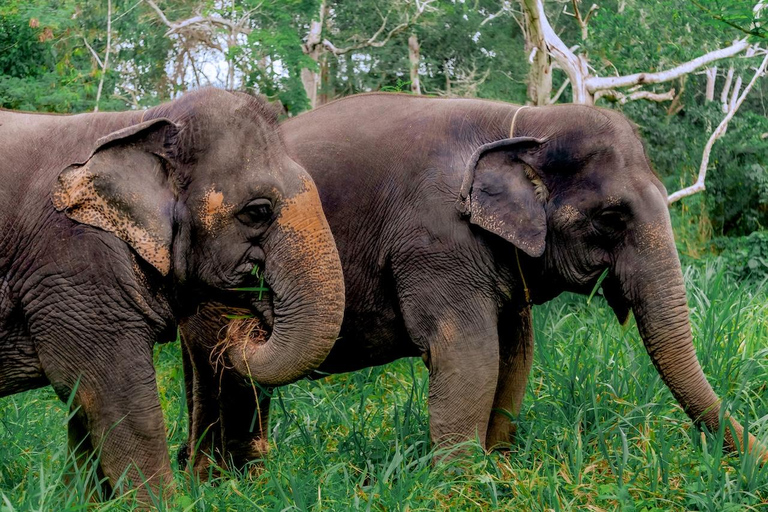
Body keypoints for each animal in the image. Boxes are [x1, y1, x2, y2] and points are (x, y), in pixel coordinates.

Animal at [0, 88, 344, 500]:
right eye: (258, 211)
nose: (247, 328)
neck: (139, 121)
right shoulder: (73, 266)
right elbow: (113, 394)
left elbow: (80, 406)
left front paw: (77, 501)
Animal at [178, 93, 760, 472]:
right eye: (613, 217)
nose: (755, 465)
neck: (523, 122)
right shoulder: (436, 241)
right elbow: (469, 353)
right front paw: (462, 484)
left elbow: (516, 353)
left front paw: (499, 470)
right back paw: (223, 478)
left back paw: (229, 474)